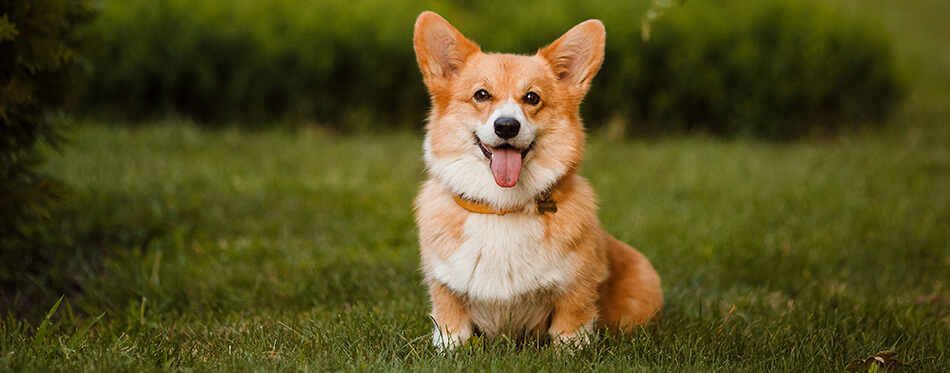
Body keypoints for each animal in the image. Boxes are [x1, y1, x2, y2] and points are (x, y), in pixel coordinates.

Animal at [412, 11, 664, 348]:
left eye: (532, 98)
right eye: (481, 95)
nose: (507, 126)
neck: (501, 208)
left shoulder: (576, 294)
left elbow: (569, 334)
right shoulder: (445, 290)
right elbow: (452, 333)